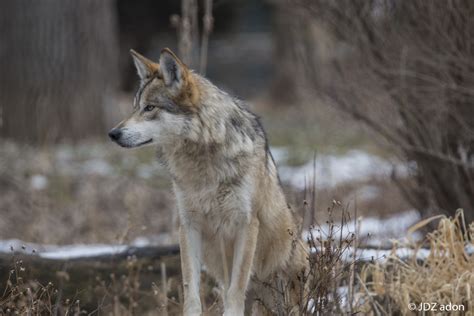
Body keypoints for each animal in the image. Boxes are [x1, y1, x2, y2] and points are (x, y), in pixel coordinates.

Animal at [108, 48, 308, 314]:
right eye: (135, 108)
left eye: (150, 108)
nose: (113, 134)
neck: (203, 163)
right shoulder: (188, 226)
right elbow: (191, 292)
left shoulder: (246, 224)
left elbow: (236, 290)